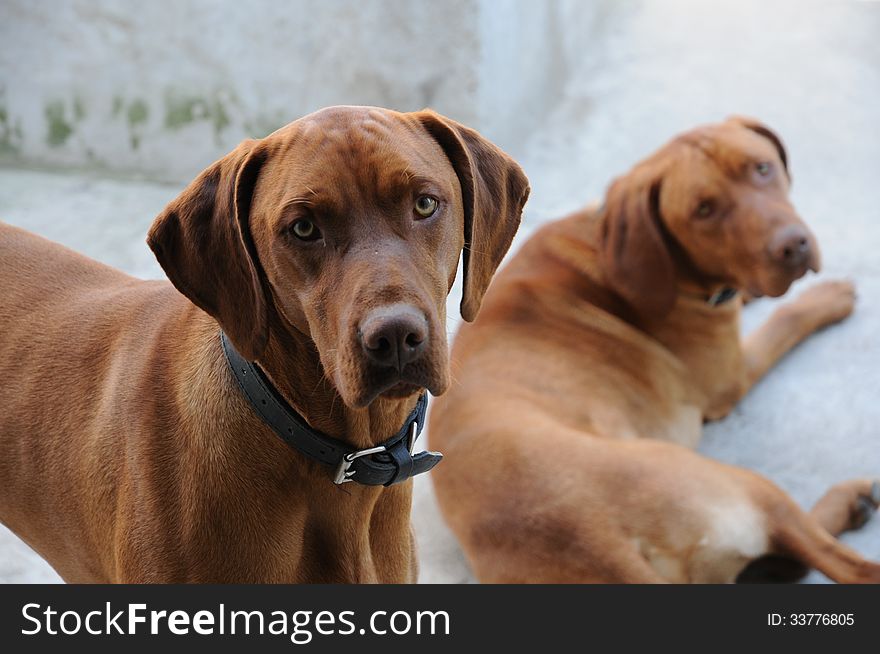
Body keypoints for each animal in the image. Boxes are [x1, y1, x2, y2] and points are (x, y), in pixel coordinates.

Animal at [428, 118, 880, 584]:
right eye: (704, 210)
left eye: (762, 168)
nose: (793, 247)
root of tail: (603, 544)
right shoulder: (732, 377)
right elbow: (782, 322)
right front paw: (821, 301)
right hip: (744, 486)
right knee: (838, 560)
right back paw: (847, 504)